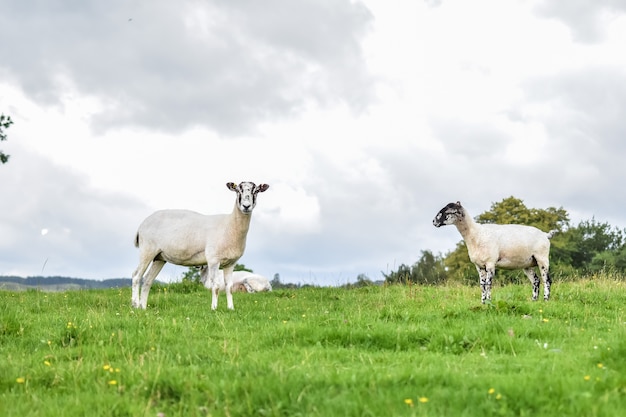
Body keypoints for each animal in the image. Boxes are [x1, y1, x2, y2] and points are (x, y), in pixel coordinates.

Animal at [130, 181, 266, 308]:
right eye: (238, 190)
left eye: (256, 191)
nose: (246, 206)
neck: (229, 225)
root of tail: (142, 224)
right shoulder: (213, 260)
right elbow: (216, 286)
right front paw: (214, 308)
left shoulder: (231, 263)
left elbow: (229, 287)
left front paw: (231, 308)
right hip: (147, 250)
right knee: (136, 276)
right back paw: (135, 305)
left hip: (159, 257)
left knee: (148, 280)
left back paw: (143, 307)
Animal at [432, 202, 560, 302]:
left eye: (448, 212)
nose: (433, 221)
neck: (476, 234)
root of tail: (546, 235)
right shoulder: (479, 266)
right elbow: (482, 285)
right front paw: (483, 302)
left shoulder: (490, 263)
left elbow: (488, 284)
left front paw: (489, 302)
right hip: (528, 263)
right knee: (536, 281)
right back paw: (534, 301)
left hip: (542, 258)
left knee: (547, 280)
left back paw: (546, 300)